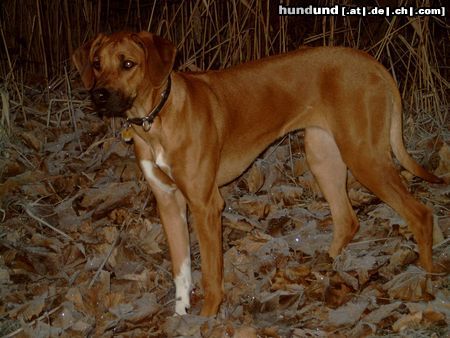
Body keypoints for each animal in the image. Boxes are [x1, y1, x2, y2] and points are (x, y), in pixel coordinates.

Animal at [74, 31, 442, 316]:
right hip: (323, 156)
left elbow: (211, 274)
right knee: (347, 219)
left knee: (421, 214)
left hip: (364, 157)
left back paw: (427, 277)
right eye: (97, 63)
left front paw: (207, 318)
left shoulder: (206, 205)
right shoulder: (168, 203)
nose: (98, 95)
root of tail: (372, 63)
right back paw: (325, 266)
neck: (155, 119)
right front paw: (181, 316)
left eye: (128, 64)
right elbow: (181, 268)